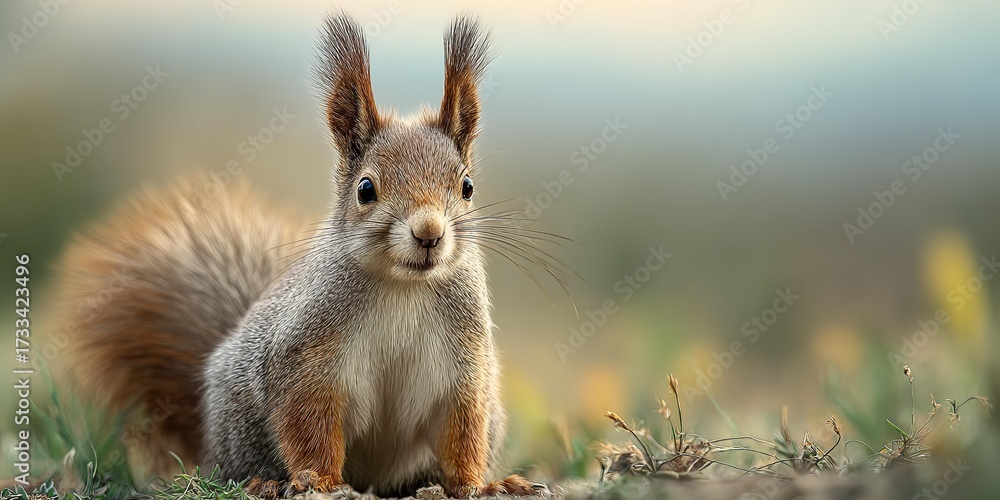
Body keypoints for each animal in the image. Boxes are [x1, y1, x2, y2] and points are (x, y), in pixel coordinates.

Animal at [54, 14, 544, 498]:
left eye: (467, 187)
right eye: (366, 189)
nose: (429, 233)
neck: (404, 285)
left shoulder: (462, 370)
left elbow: (463, 433)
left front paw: (480, 485)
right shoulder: (307, 359)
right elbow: (308, 425)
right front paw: (318, 480)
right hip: (241, 426)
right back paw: (263, 482)